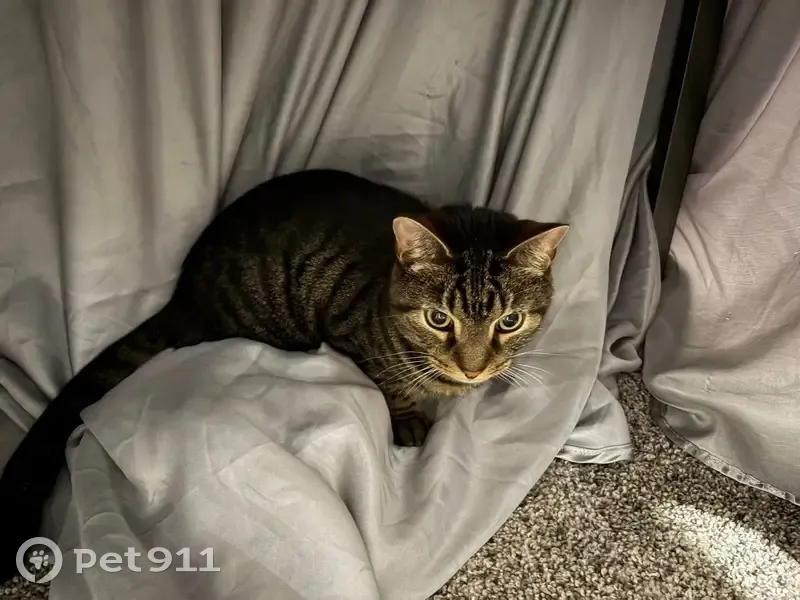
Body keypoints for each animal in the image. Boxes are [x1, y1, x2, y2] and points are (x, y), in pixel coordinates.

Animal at [0, 169, 568, 581]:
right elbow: (392, 383)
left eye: (509, 322)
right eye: (438, 319)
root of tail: (183, 296)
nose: (474, 367)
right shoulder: (349, 334)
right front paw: (409, 415)